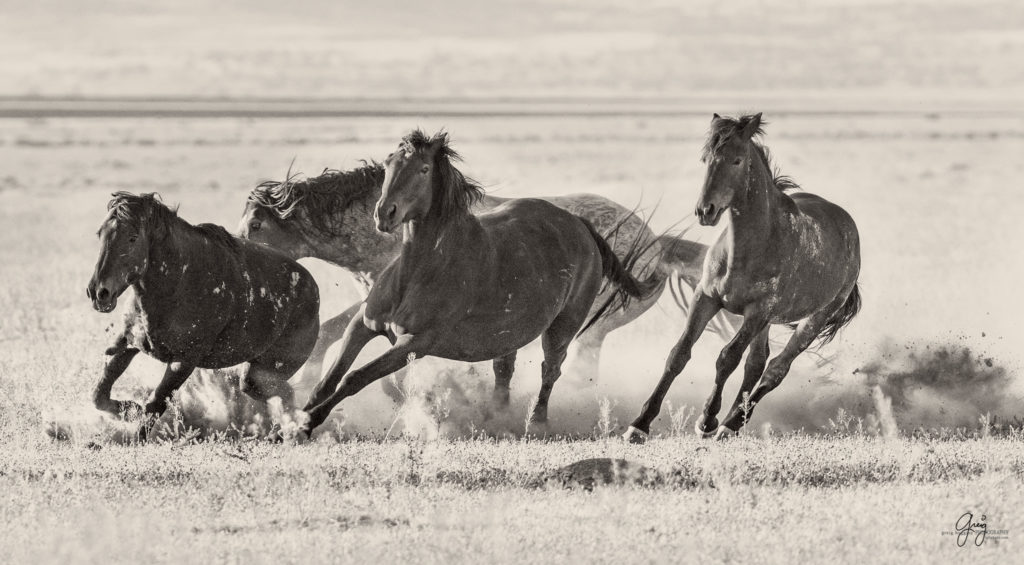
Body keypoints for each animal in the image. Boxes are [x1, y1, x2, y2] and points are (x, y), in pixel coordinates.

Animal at [86, 192, 317, 433]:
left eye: (132, 238)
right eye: (100, 233)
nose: (99, 293)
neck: (178, 283)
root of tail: (313, 288)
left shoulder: (183, 363)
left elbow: (155, 403)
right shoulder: (126, 343)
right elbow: (99, 394)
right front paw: (130, 409)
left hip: (265, 372)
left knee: (284, 397)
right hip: (256, 377)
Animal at [296, 129, 663, 433]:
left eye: (424, 169)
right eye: (388, 164)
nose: (385, 214)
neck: (418, 272)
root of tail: (580, 225)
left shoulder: (414, 344)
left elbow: (354, 378)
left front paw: (308, 422)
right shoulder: (363, 324)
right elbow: (331, 377)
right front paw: (296, 415)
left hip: (564, 325)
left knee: (550, 369)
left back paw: (535, 422)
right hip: (514, 331)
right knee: (504, 371)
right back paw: (495, 416)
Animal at [618, 112, 860, 444]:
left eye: (737, 160)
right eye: (706, 159)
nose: (705, 210)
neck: (748, 249)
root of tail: (848, 224)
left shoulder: (757, 312)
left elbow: (727, 358)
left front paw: (707, 419)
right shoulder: (705, 298)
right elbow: (679, 354)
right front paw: (639, 424)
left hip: (814, 319)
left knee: (775, 369)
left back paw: (730, 423)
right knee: (756, 363)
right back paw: (732, 420)